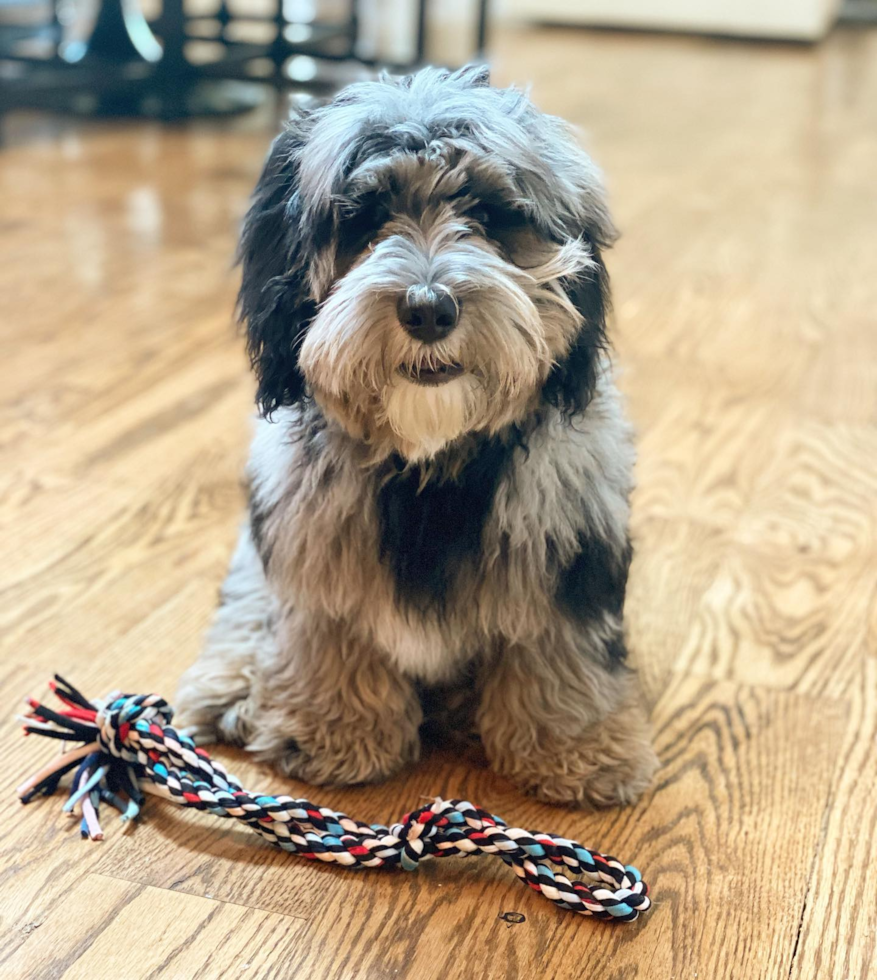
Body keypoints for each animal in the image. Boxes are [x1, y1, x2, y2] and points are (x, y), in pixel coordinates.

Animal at [175, 65, 656, 808]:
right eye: (365, 221)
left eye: (487, 216)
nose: (429, 309)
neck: (431, 464)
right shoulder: (319, 536)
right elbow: (328, 626)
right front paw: (333, 729)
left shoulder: (567, 543)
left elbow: (560, 645)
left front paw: (576, 746)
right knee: (249, 597)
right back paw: (233, 681)